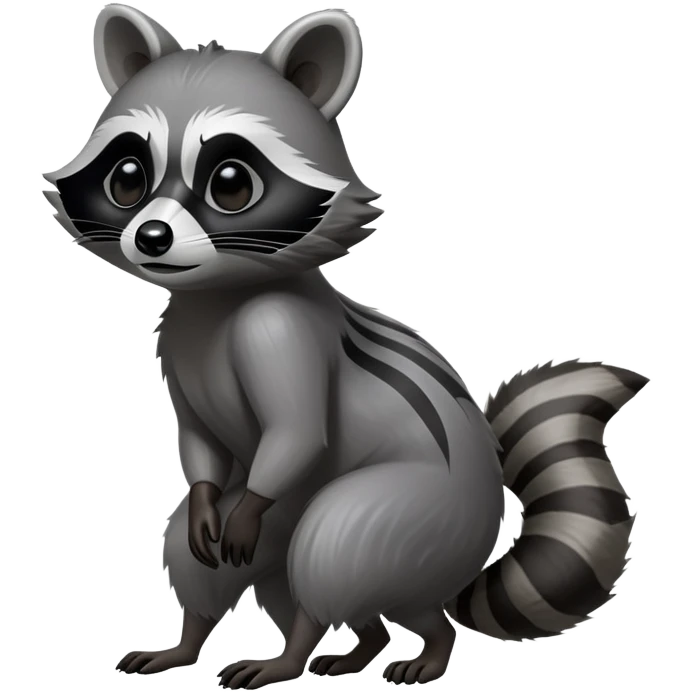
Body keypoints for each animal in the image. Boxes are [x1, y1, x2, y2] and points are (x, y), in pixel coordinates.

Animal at [43, 4, 647, 688]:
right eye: (128, 178)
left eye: (231, 184)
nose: (150, 238)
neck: (215, 295)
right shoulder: (174, 342)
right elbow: (199, 449)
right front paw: (201, 497)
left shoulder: (280, 332)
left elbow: (299, 433)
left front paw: (254, 501)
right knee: (236, 565)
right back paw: (243, 641)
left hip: (417, 516)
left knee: (332, 549)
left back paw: (356, 648)